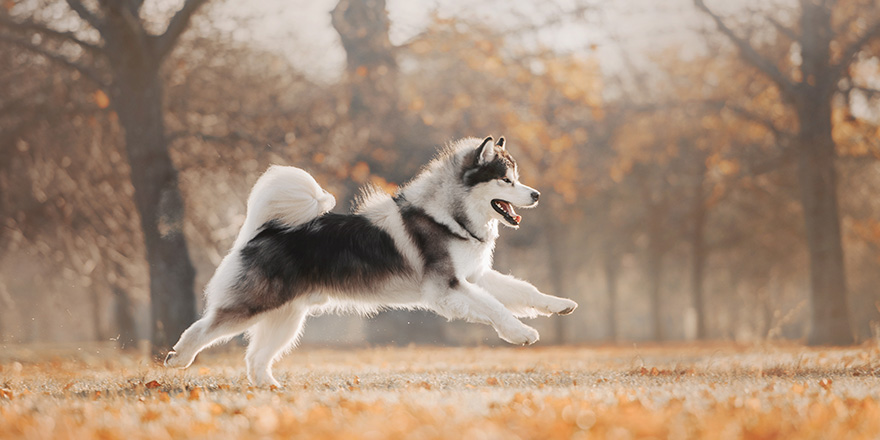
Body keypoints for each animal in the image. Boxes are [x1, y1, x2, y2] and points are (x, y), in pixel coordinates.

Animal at [165, 137, 576, 384]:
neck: (448, 215)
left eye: (516, 178)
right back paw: (178, 358)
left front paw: (559, 305)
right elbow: (495, 307)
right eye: (506, 180)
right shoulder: (446, 289)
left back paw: (271, 388)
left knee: (255, 358)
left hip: (287, 318)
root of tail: (264, 230)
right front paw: (520, 333)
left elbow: (524, 291)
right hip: (255, 305)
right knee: (202, 328)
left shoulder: (475, 276)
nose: (536, 195)